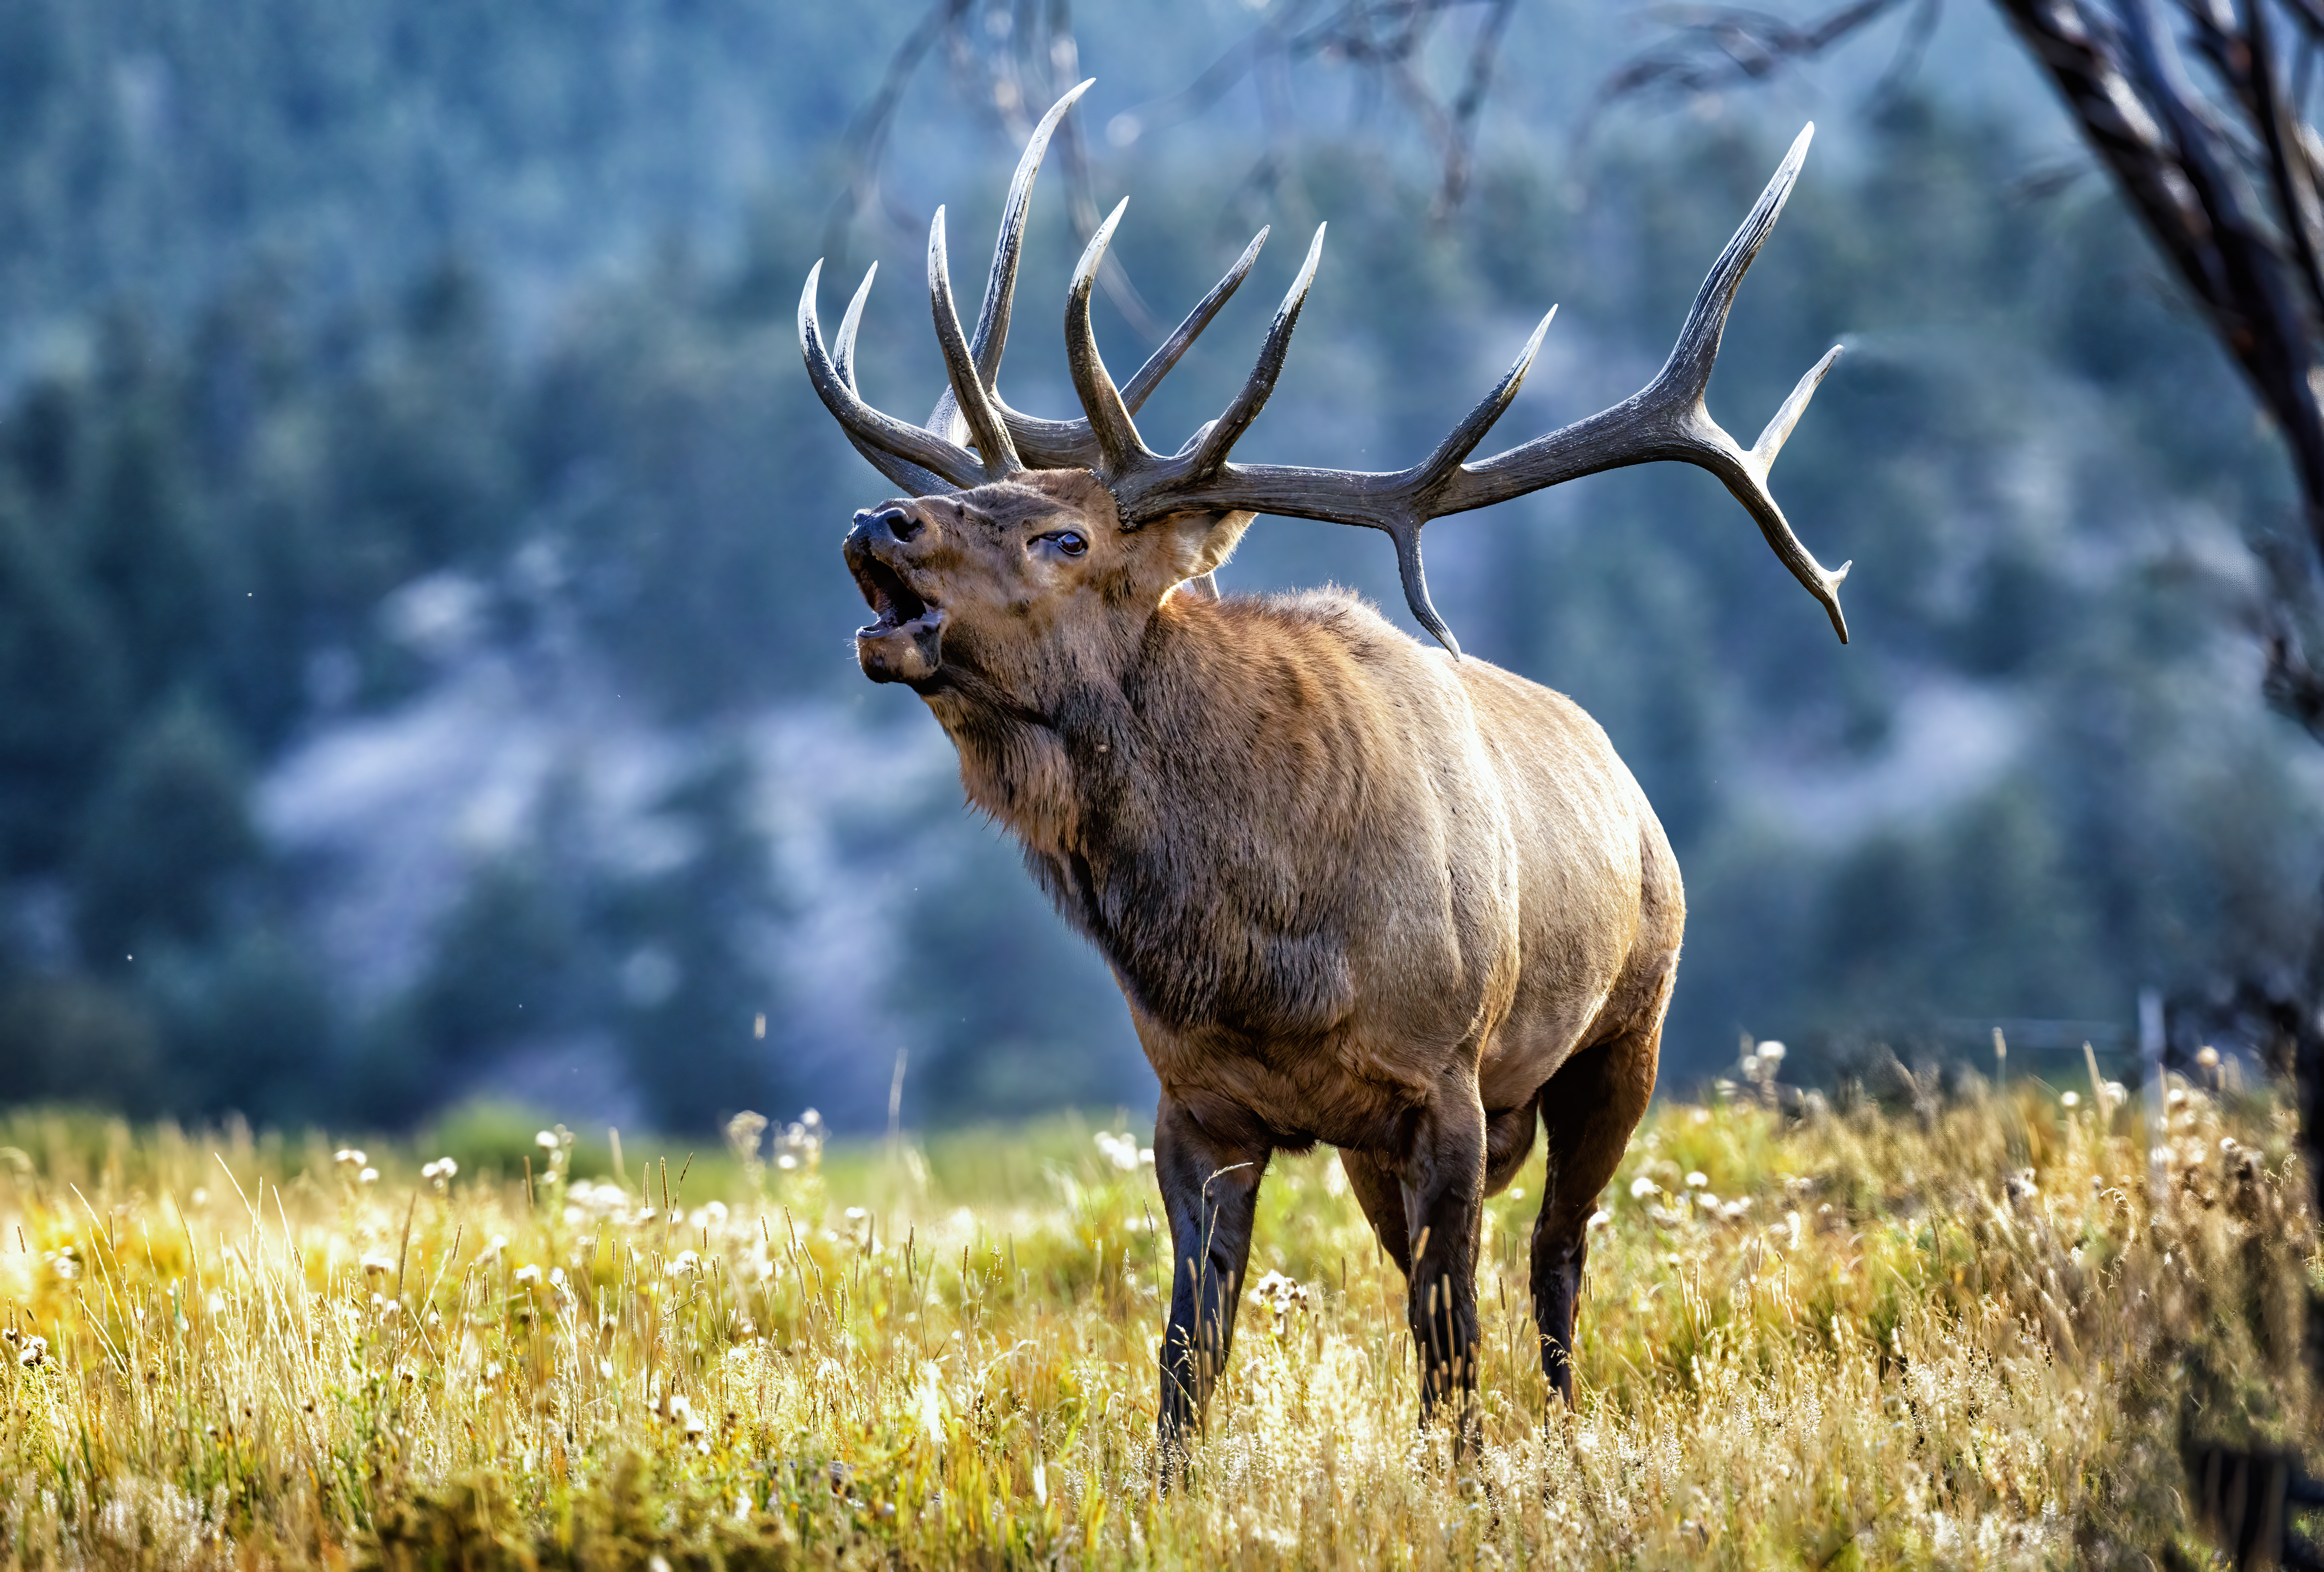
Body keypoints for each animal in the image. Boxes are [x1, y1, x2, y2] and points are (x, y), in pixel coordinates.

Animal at [798, 82, 1849, 1462]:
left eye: (1062, 536)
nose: (878, 519)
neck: (1261, 949)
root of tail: (1629, 789)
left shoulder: (1445, 1082)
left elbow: (1448, 1344)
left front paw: (1471, 1478)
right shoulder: (1195, 1106)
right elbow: (1188, 1353)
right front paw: (1172, 1483)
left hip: (1626, 1031)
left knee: (1555, 1256)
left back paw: (1567, 1429)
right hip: (1378, 1147)